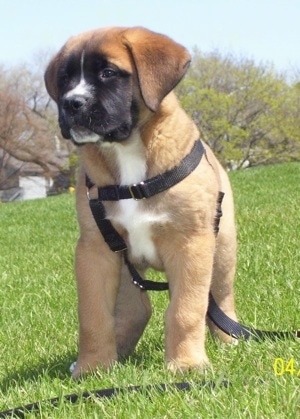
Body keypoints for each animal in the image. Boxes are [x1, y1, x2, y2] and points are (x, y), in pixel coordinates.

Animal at [44, 26, 238, 380]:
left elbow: (186, 309)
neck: (128, 154)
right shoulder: (95, 251)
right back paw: (115, 354)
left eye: (108, 72)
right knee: (137, 309)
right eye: (65, 79)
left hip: (222, 250)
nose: (71, 103)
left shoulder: (191, 245)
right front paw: (92, 367)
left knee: (220, 297)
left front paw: (187, 364)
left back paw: (229, 340)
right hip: (125, 271)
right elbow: (93, 315)